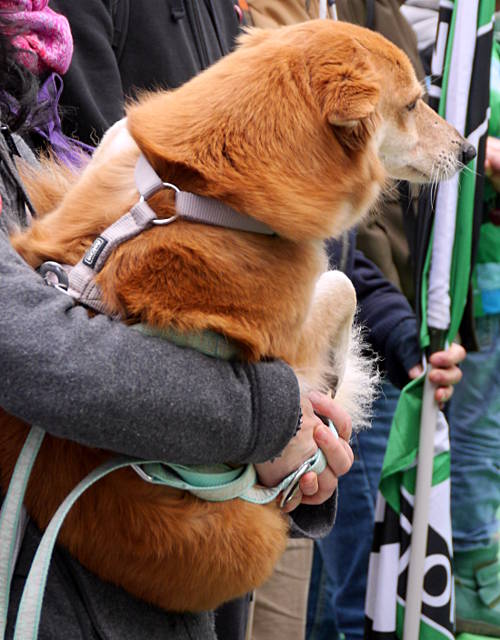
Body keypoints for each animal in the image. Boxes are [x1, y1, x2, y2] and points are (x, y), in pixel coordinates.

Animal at [0, 20, 472, 608]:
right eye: (411, 104)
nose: (469, 149)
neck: (201, 191)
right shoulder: (296, 335)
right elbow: (340, 287)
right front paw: (334, 388)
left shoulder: (118, 155)